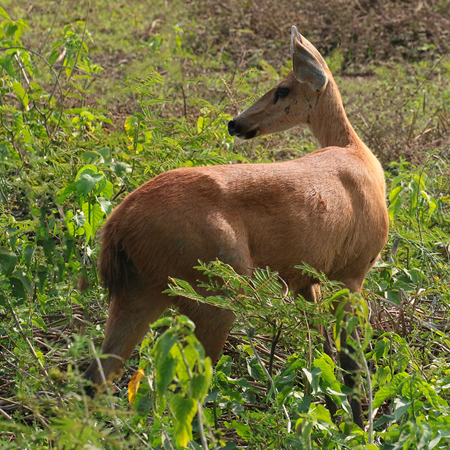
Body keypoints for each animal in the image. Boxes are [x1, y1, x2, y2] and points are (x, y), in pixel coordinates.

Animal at [84, 25, 390, 428]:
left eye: (282, 89)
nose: (235, 122)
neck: (359, 156)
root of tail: (118, 226)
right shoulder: (352, 271)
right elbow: (351, 363)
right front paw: (359, 428)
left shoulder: (309, 279)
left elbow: (322, 350)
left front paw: (335, 416)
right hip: (214, 293)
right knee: (188, 391)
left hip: (139, 292)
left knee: (96, 378)